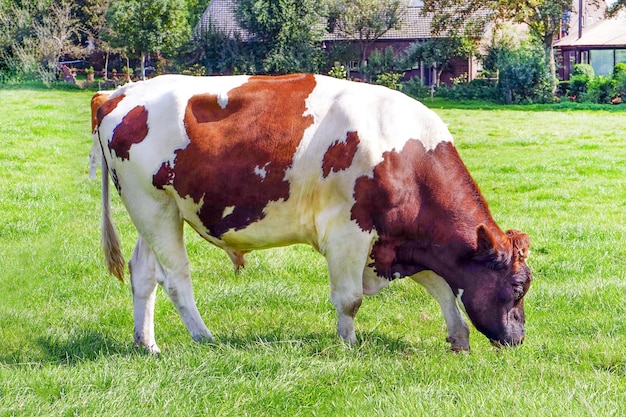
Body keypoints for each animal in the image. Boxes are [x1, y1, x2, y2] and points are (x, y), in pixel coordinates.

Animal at [97, 72, 532, 352]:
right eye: (516, 287)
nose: (518, 340)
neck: (406, 155)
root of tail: (120, 92)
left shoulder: (401, 239)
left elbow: (441, 285)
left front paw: (459, 338)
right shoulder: (349, 232)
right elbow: (350, 298)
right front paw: (349, 344)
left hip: (157, 210)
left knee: (144, 273)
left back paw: (147, 344)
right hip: (152, 206)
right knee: (176, 278)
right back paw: (204, 337)